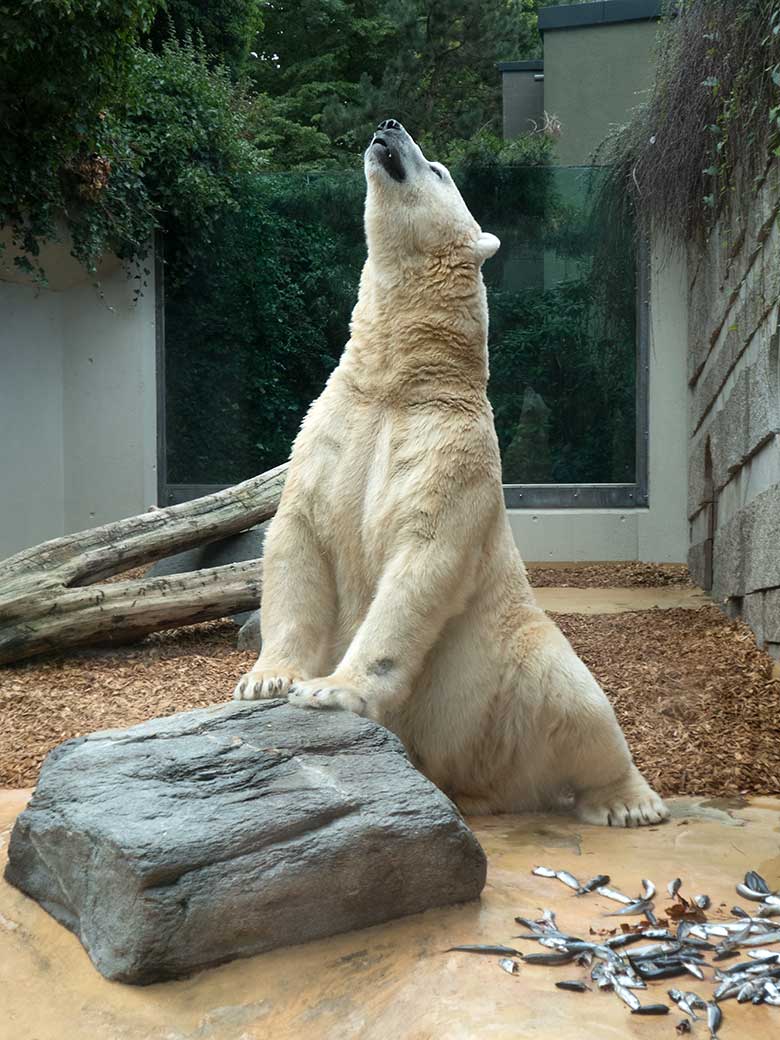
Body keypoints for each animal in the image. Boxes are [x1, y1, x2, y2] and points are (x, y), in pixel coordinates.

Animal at [231, 118, 665, 823]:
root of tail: (486, 778)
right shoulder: (330, 431)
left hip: (511, 663)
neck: (398, 382)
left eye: (436, 169)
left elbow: (424, 556)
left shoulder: (454, 450)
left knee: (578, 698)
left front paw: (329, 690)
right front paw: (268, 677)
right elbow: (297, 535)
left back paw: (630, 802)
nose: (389, 126)